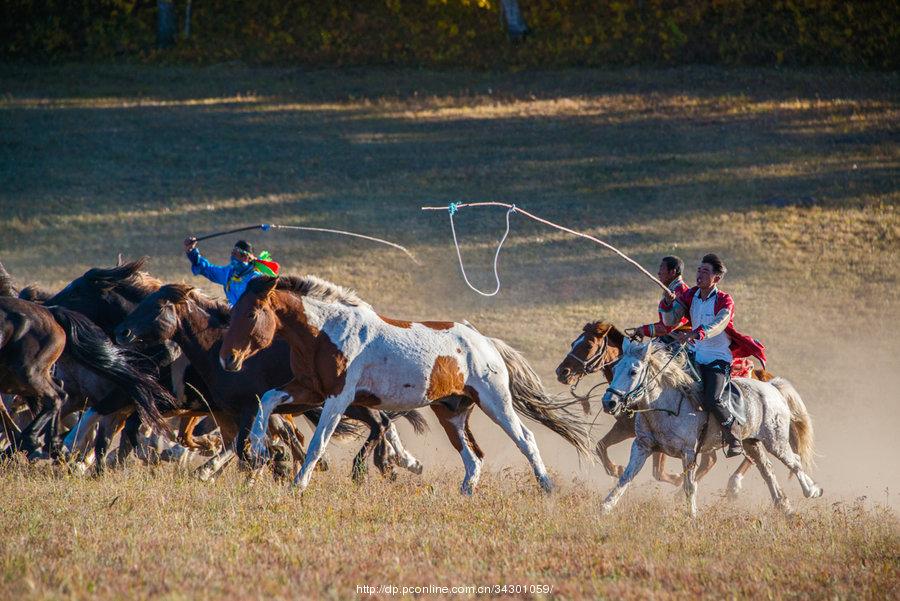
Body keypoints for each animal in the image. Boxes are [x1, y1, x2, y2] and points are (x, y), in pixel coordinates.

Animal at [221, 274, 596, 494]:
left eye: (250, 314)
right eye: (233, 311)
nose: (228, 359)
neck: (326, 332)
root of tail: (485, 342)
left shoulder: (338, 398)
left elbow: (318, 443)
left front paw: (298, 484)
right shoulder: (309, 389)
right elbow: (267, 399)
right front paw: (258, 450)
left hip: (495, 402)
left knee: (525, 439)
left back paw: (546, 487)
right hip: (452, 413)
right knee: (473, 457)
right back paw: (465, 492)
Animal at [596, 340, 824, 512]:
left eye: (634, 372)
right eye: (615, 368)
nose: (609, 402)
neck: (666, 404)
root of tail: (772, 387)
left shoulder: (688, 452)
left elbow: (689, 486)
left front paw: (692, 516)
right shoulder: (642, 446)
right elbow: (625, 478)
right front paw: (605, 508)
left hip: (775, 442)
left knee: (794, 462)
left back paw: (812, 491)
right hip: (752, 443)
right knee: (766, 469)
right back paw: (783, 505)